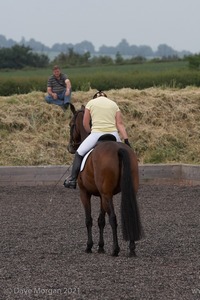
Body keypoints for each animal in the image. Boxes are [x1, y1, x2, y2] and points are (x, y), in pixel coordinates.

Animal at [67, 103, 142, 258]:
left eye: (71, 124)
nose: (70, 147)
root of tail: (118, 149)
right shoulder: (102, 195)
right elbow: (100, 220)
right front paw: (100, 247)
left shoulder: (85, 193)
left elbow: (89, 220)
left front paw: (89, 246)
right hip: (120, 191)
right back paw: (131, 248)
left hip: (106, 195)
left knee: (113, 218)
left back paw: (115, 249)